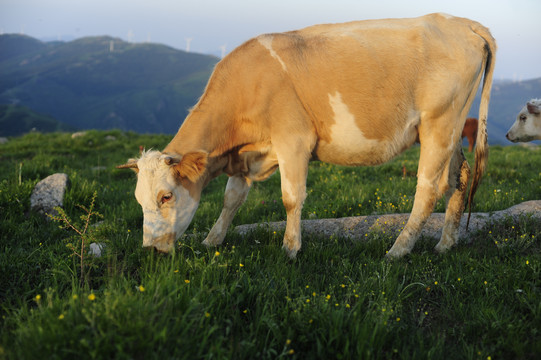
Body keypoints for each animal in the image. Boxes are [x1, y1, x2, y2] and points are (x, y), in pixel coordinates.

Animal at [118, 11, 494, 258]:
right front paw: (213, 240)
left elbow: (291, 197)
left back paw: (397, 251)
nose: (150, 248)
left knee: (428, 189)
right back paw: (445, 244)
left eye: (166, 196)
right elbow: (231, 199)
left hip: (439, 125)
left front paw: (289, 248)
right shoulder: (246, 157)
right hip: (453, 129)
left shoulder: (293, 140)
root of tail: (461, 22)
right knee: (459, 178)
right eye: (138, 199)